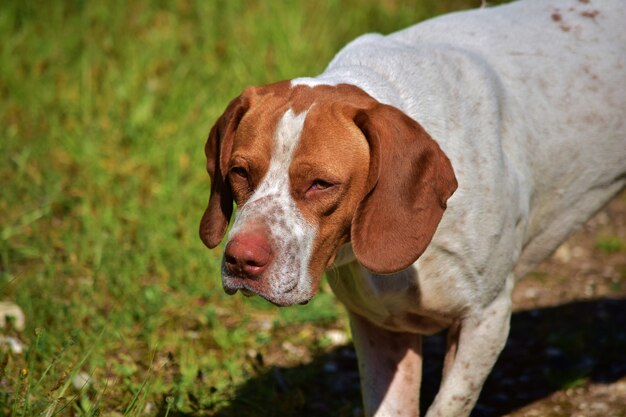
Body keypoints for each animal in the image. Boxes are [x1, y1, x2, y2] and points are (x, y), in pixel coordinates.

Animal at [200, 1, 624, 414]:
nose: (241, 260)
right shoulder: (381, 327)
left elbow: (447, 405)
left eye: (320, 184)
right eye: (239, 172)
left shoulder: (485, 319)